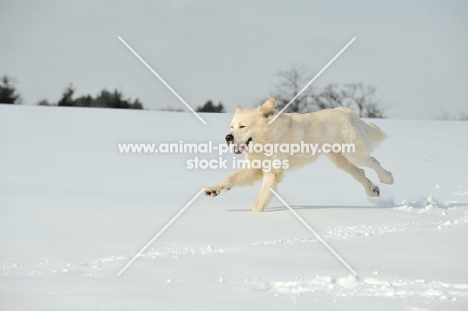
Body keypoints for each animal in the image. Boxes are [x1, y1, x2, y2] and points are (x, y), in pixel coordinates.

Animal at [204, 98, 392, 213]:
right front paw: (213, 190)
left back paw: (387, 178)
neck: (266, 138)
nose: (228, 137)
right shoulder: (253, 169)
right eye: (231, 126)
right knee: (359, 172)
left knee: (373, 161)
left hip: (354, 153)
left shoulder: (273, 172)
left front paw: (255, 215)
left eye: (242, 126)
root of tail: (345, 110)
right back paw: (372, 190)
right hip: (339, 160)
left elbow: (261, 197)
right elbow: (230, 179)